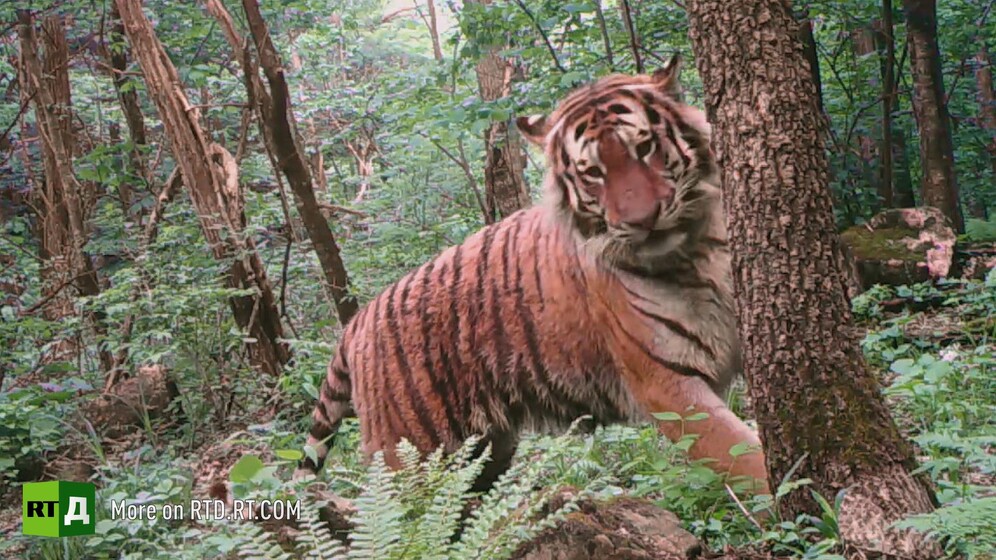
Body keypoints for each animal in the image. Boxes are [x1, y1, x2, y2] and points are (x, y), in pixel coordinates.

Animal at [298, 56, 769, 496]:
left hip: (484, 450)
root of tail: (358, 321)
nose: (643, 221)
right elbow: (748, 460)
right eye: (593, 172)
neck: (694, 250)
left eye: (646, 147)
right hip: (413, 459)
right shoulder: (668, 385)